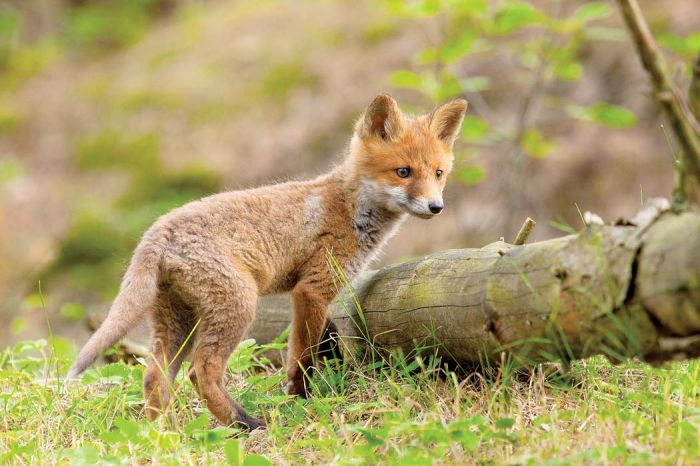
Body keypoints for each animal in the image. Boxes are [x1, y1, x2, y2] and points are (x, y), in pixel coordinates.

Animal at [68, 93, 468, 430]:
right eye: (403, 172)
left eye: (438, 173)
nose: (436, 206)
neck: (349, 208)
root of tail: (157, 230)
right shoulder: (311, 289)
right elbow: (302, 358)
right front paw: (301, 399)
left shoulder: (312, 294)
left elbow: (316, 347)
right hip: (237, 307)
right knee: (201, 372)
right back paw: (244, 423)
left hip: (179, 320)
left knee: (155, 376)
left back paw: (165, 434)